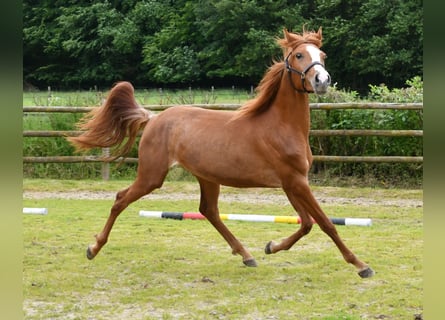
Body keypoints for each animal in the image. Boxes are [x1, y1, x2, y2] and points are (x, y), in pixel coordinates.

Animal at [70, 27, 374, 278]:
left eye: (321, 55)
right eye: (299, 54)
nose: (323, 80)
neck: (281, 126)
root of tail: (153, 118)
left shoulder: (291, 183)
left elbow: (307, 223)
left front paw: (271, 246)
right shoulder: (296, 182)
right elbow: (325, 223)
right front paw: (361, 265)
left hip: (206, 177)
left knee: (209, 211)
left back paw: (247, 255)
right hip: (152, 176)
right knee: (121, 199)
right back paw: (93, 248)